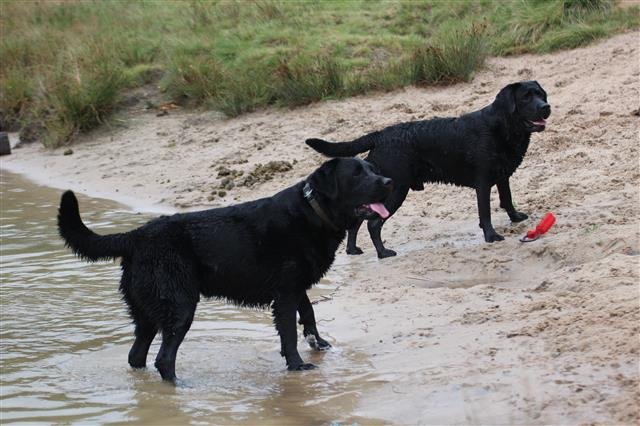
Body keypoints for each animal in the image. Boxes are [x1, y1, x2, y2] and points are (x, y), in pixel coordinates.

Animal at [58, 158, 392, 382]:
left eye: (372, 168)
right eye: (357, 173)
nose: (388, 181)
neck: (314, 212)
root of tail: (136, 236)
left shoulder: (295, 287)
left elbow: (308, 312)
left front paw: (317, 342)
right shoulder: (285, 294)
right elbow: (288, 333)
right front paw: (297, 365)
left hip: (148, 312)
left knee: (137, 356)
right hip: (179, 308)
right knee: (164, 360)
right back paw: (179, 387)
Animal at [306, 81, 550, 258]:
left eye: (541, 94)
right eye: (526, 97)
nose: (546, 107)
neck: (503, 126)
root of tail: (380, 135)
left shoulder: (502, 176)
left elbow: (507, 199)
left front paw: (516, 218)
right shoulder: (483, 183)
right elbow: (486, 212)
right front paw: (491, 236)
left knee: (357, 221)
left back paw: (353, 250)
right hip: (395, 189)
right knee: (373, 224)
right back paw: (383, 253)